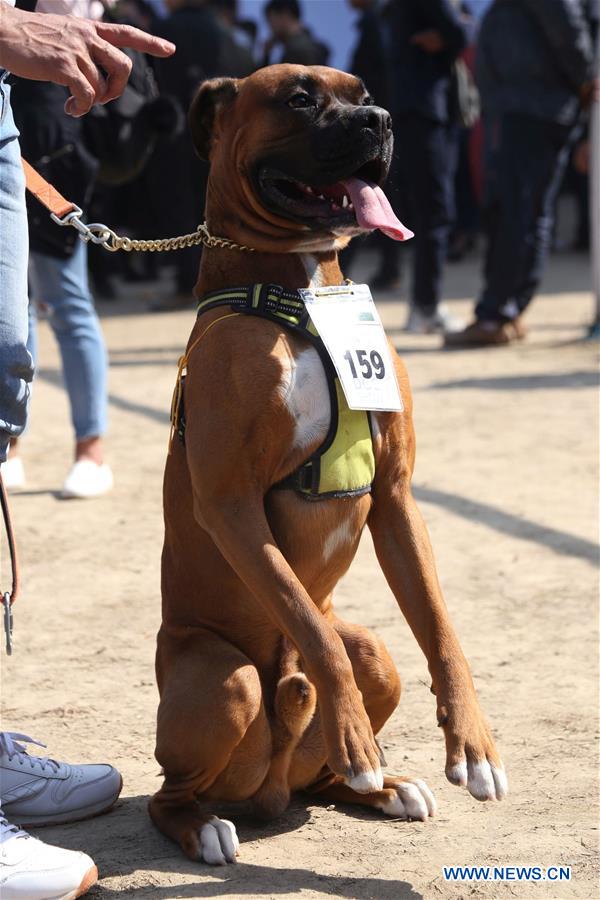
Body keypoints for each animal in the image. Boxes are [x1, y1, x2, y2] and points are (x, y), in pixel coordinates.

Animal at [151, 65, 506, 864]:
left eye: (362, 92)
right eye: (299, 99)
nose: (380, 120)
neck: (305, 296)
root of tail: (266, 790)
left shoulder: (398, 498)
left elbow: (441, 630)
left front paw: (473, 744)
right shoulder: (231, 508)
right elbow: (312, 636)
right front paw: (353, 733)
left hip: (374, 651)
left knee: (321, 768)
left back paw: (377, 789)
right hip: (224, 682)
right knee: (171, 792)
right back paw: (205, 826)